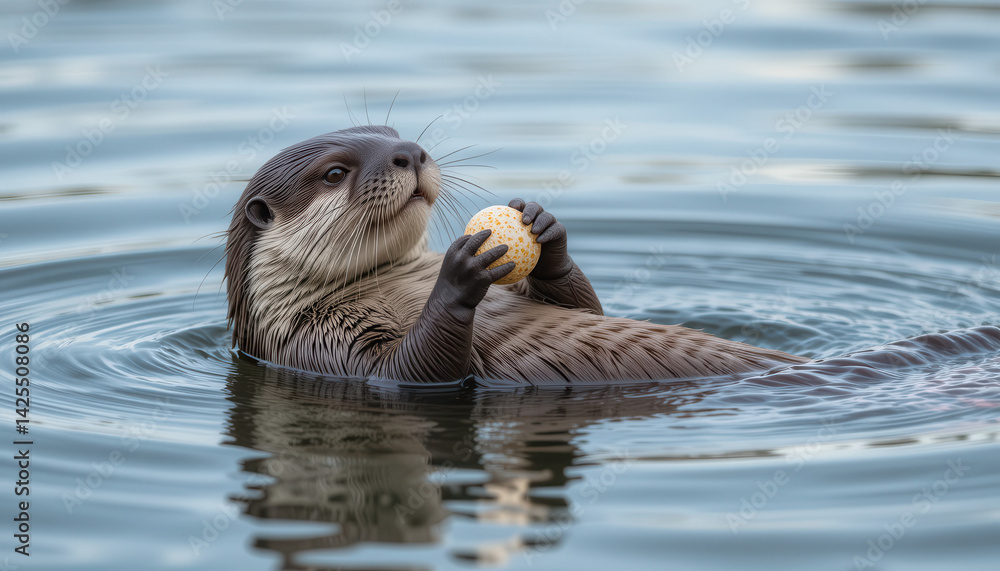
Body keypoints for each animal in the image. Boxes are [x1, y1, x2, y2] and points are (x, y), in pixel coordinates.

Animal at [224, 125, 807, 384]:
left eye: (392, 133)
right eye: (334, 172)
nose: (411, 151)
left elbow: (584, 307)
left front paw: (545, 229)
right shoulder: (322, 346)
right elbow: (412, 370)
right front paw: (461, 272)